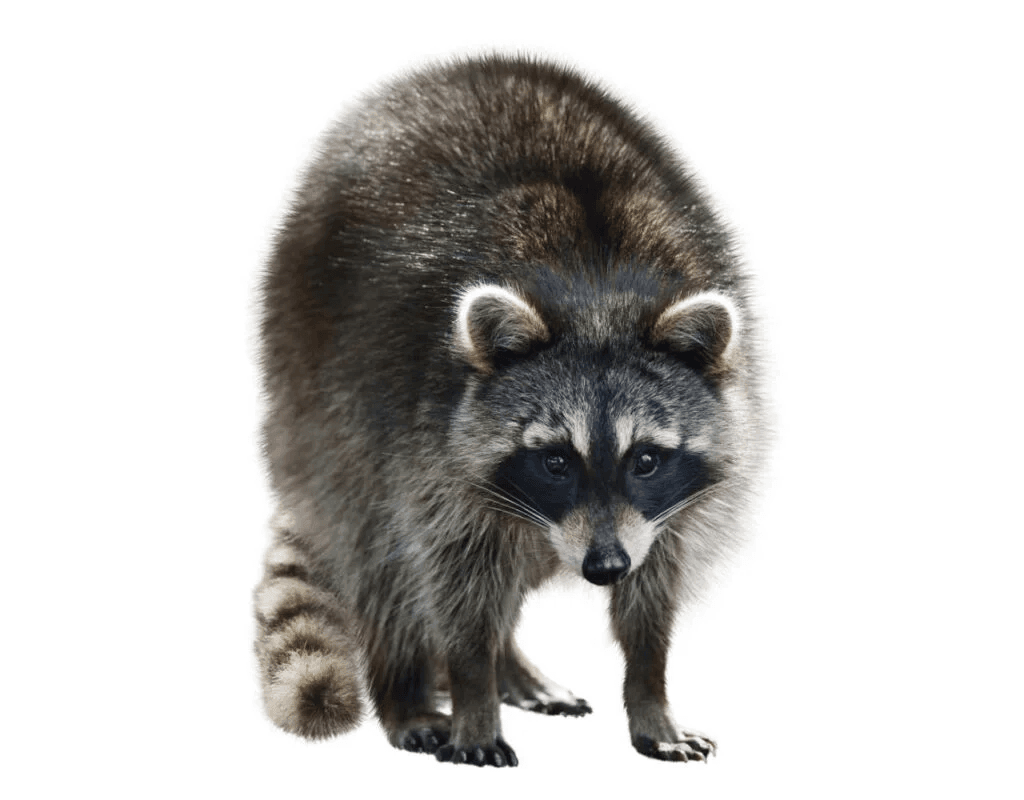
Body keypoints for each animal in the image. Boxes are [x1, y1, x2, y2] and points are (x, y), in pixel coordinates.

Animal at [254, 55, 765, 767]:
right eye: (554, 461)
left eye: (645, 459)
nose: (604, 568)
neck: (596, 293)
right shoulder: (425, 436)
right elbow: (456, 582)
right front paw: (473, 692)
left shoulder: (665, 506)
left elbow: (654, 589)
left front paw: (650, 694)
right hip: (318, 381)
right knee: (382, 554)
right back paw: (408, 692)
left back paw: (510, 668)